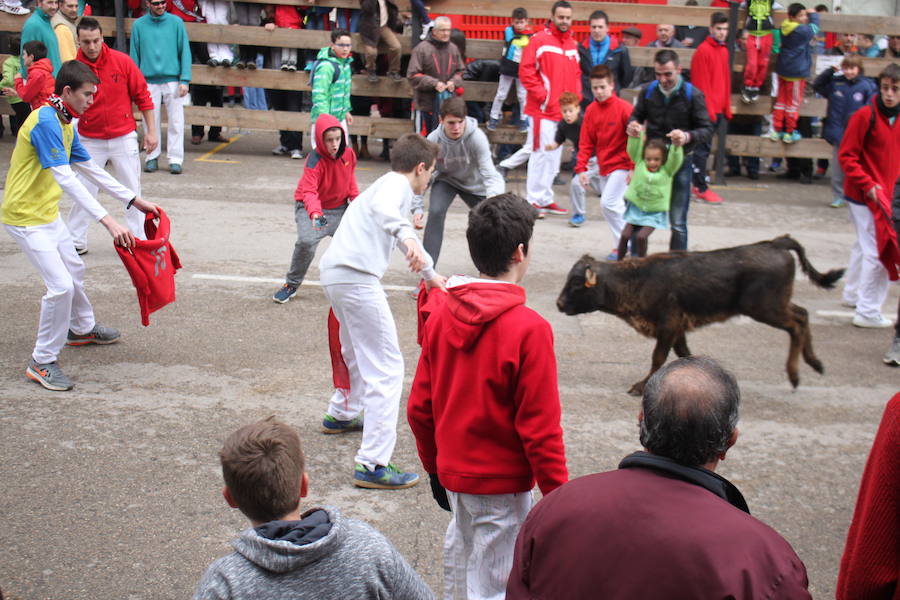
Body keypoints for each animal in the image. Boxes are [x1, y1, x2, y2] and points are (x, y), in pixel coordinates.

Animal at [556, 237, 844, 396]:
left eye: (576, 284)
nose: (559, 304)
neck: (636, 279)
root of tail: (776, 243)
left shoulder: (668, 325)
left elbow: (659, 356)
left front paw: (641, 386)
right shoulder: (678, 329)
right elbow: (684, 354)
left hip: (765, 308)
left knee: (796, 323)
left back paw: (796, 375)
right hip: (775, 305)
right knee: (803, 315)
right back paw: (814, 363)